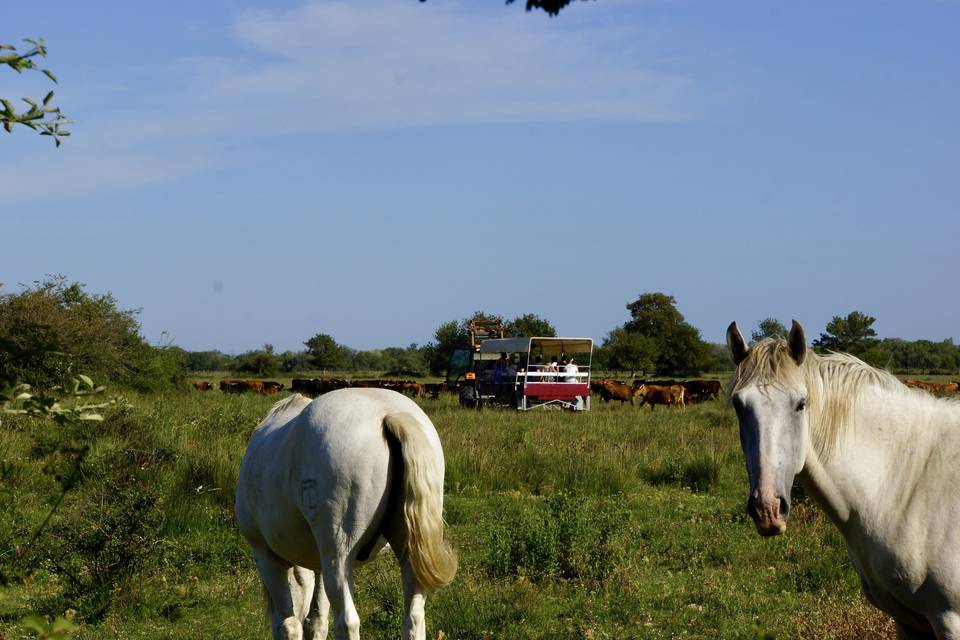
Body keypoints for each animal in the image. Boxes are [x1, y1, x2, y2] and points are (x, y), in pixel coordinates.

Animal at [234, 388, 456, 640]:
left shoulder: (266, 555)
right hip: (407, 555)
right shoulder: (317, 564)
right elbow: (317, 621)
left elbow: (288, 624)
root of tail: (388, 413)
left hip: (338, 558)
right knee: (413, 617)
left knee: (347, 621)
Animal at [728, 322, 960, 636]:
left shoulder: (950, 620)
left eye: (801, 404)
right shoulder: (908, 623)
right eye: (738, 406)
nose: (767, 509)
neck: (910, 480)